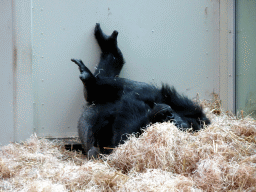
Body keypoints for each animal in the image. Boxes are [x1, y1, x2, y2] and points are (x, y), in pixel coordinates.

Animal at [70, 23, 210, 158]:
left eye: (173, 125)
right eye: (172, 119)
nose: (169, 115)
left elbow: (122, 137)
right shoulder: (184, 104)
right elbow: (144, 91)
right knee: (120, 85)